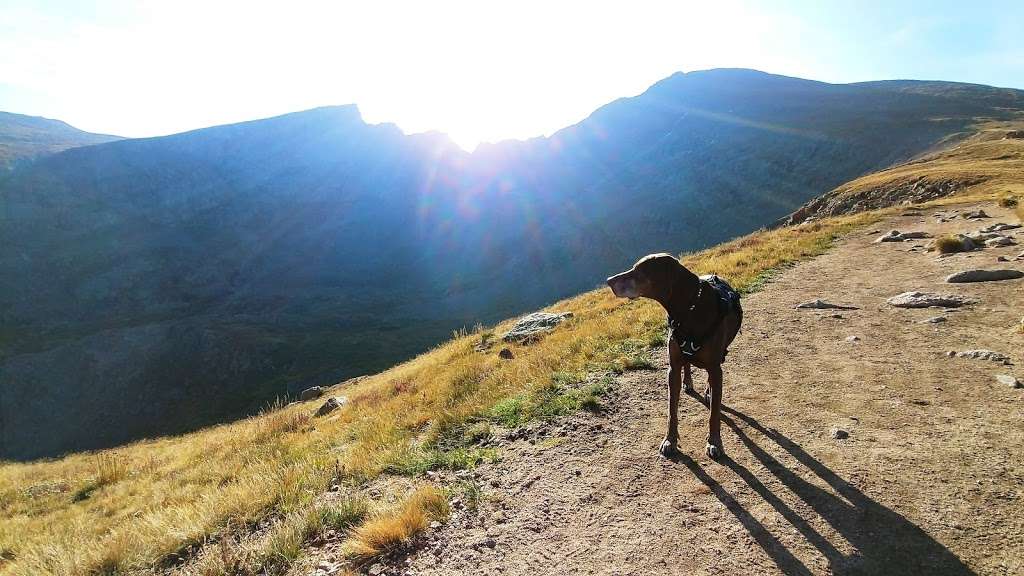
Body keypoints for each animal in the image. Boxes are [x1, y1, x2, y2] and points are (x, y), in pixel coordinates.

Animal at [606, 253, 745, 455]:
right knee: (686, 363)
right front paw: (669, 440)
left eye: (639, 272)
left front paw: (715, 442)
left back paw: (708, 391)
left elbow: (714, 412)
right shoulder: (672, 368)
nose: (608, 280)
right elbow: (672, 409)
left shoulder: (715, 367)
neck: (690, 310)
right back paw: (688, 382)